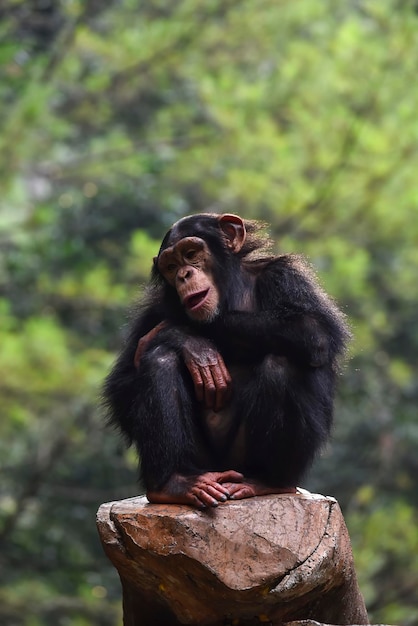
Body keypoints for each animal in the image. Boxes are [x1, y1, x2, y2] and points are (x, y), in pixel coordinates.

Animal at [103, 213, 352, 508]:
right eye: (171, 265)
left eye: (191, 254)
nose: (183, 275)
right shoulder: (152, 309)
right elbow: (121, 389)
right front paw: (192, 343)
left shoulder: (285, 276)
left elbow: (313, 331)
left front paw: (179, 329)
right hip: (205, 464)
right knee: (161, 359)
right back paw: (173, 484)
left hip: (244, 462)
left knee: (283, 362)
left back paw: (268, 481)